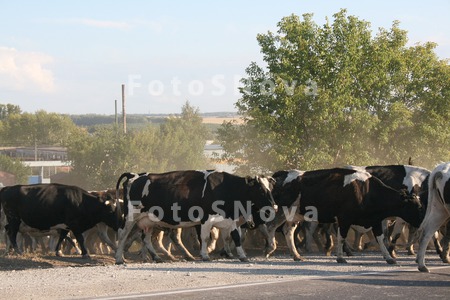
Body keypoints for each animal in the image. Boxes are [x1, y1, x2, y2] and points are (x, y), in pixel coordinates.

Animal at [114, 170, 276, 264]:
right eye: (261, 189)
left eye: (270, 188)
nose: (274, 206)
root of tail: (134, 175)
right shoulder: (206, 219)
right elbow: (204, 238)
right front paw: (205, 255)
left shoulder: (230, 220)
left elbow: (235, 237)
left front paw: (242, 256)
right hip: (131, 217)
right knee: (122, 234)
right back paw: (119, 258)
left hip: (149, 221)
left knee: (146, 239)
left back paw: (157, 257)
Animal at [266, 168, 424, 264]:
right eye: (415, 206)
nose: (422, 222)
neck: (366, 191)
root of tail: (284, 173)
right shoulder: (344, 219)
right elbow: (341, 237)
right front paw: (341, 257)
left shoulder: (375, 220)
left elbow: (380, 238)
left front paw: (389, 258)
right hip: (283, 210)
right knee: (271, 226)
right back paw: (270, 249)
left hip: (295, 215)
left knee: (288, 231)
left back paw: (296, 255)